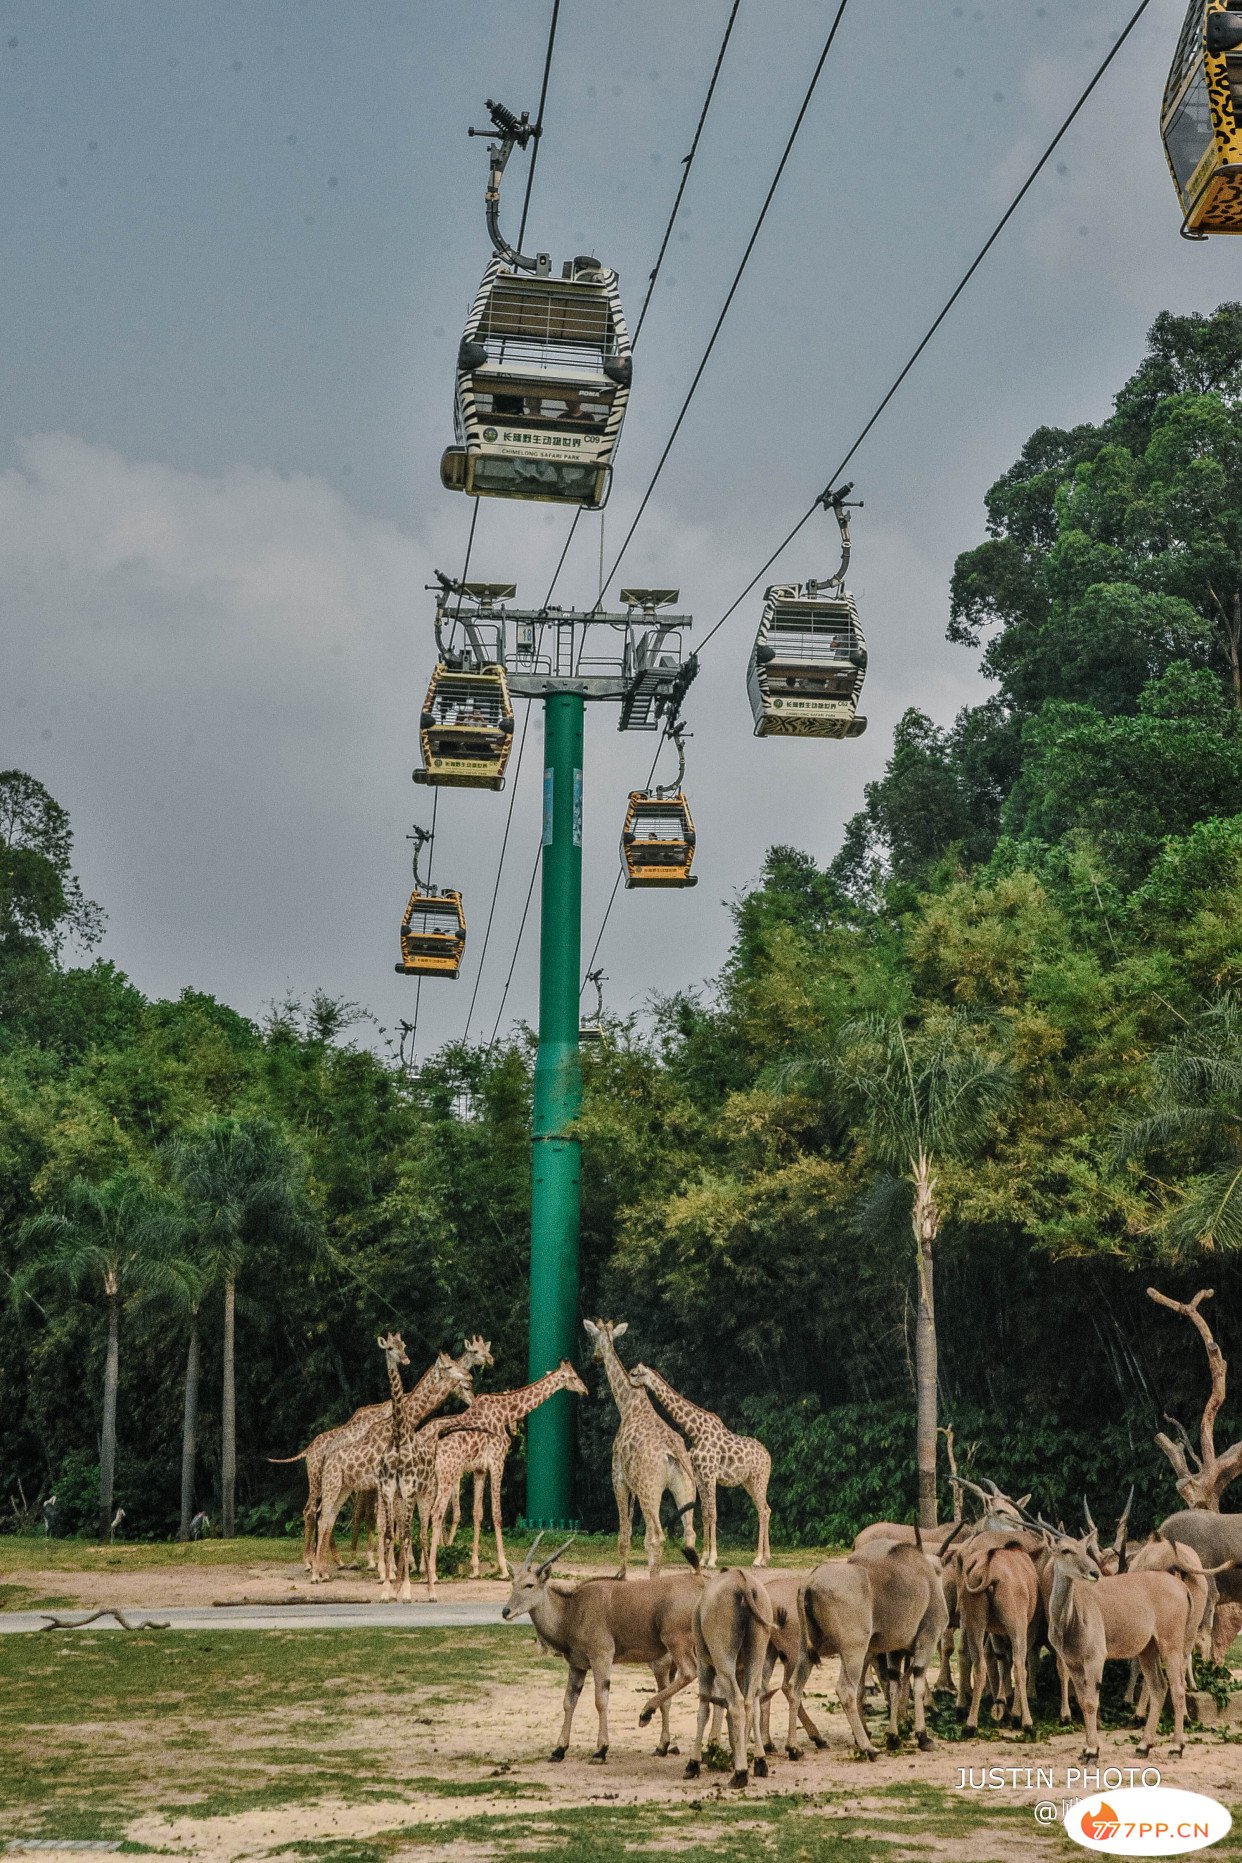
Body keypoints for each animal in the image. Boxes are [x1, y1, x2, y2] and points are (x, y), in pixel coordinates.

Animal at [273, 1333, 495, 1564]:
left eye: (485, 1349)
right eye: (476, 1351)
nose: (489, 1360)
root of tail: (309, 1449)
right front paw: (396, 1560)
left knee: (327, 1512)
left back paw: (335, 1559)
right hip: (321, 1477)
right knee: (314, 1510)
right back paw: (313, 1561)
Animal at [432, 1363, 588, 1579]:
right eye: (573, 1377)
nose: (585, 1390)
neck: (505, 1411)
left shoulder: (480, 1469)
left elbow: (477, 1513)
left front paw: (474, 1568)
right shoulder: (497, 1461)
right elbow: (497, 1514)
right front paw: (504, 1568)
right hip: (444, 1476)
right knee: (433, 1513)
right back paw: (430, 1570)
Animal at [584, 1319, 700, 1579]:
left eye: (593, 1338)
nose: (595, 1358)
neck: (628, 1404)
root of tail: (671, 1453)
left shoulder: (619, 1478)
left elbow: (624, 1533)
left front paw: (621, 1575)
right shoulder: (635, 1485)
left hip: (651, 1489)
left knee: (657, 1537)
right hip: (684, 1488)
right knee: (689, 1535)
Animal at [636, 1363, 770, 1564]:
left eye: (636, 1373)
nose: (630, 1380)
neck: (695, 1432)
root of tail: (769, 1457)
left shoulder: (710, 1474)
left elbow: (713, 1513)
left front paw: (713, 1559)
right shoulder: (699, 1476)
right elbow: (706, 1514)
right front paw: (704, 1558)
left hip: (759, 1479)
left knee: (762, 1511)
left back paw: (758, 1559)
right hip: (749, 1482)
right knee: (766, 1510)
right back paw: (767, 1556)